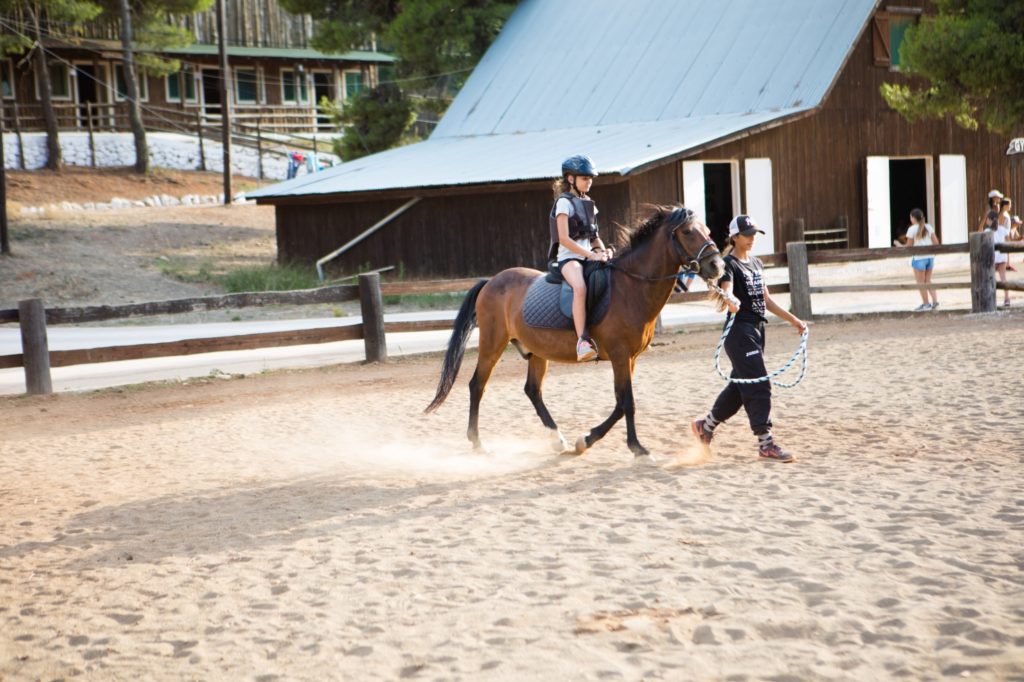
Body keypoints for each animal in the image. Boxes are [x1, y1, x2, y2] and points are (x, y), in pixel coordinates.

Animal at [428, 204, 724, 454]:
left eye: (707, 230)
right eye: (687, 231)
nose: (717, 266)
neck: (630, 287)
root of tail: (490, 282)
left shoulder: (630, 358)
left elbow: (620, 404)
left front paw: (587, 440)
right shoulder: (620, 356)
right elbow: (627, 402)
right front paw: (636, 448)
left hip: (537, 352)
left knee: (532, 390)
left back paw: (558, 440)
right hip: (492, 344)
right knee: (477, 385)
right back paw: (477, 443)